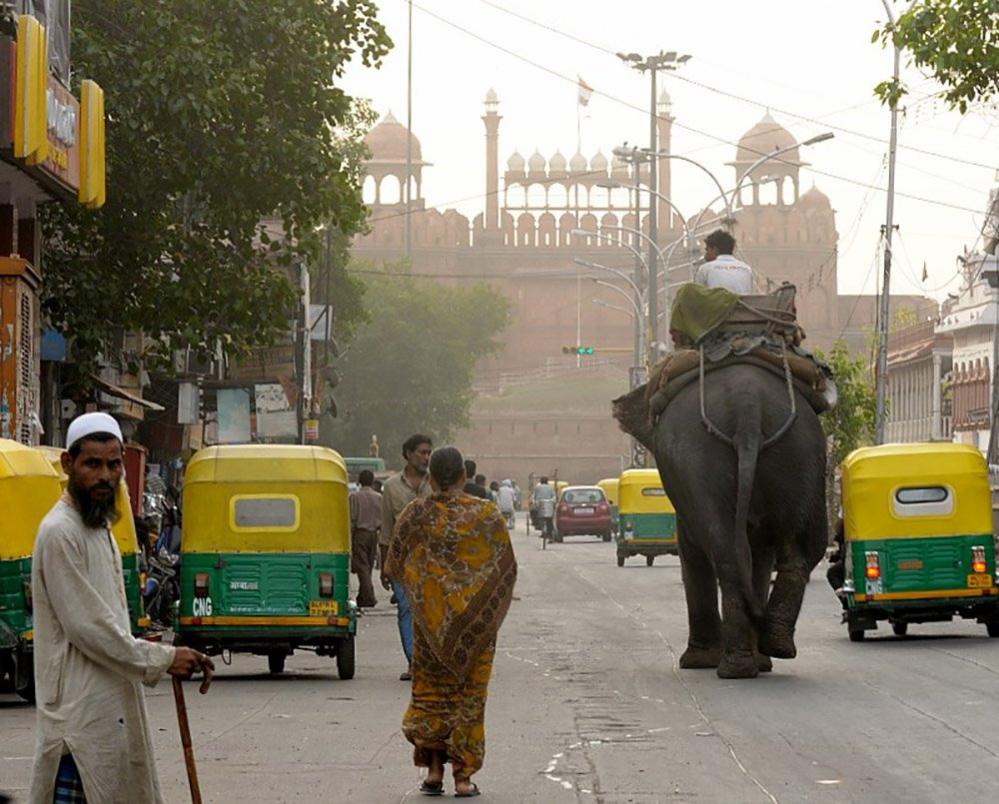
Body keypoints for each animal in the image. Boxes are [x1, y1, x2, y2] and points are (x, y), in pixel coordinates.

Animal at [616, 362, 828, 676]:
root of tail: (748, 405)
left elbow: (691, 550)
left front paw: (696, 662)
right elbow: (759, 555)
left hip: (700, 460)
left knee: (726, 552)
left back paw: (733, 667)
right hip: (802, 452)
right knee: (796, 549)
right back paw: (773, 647)